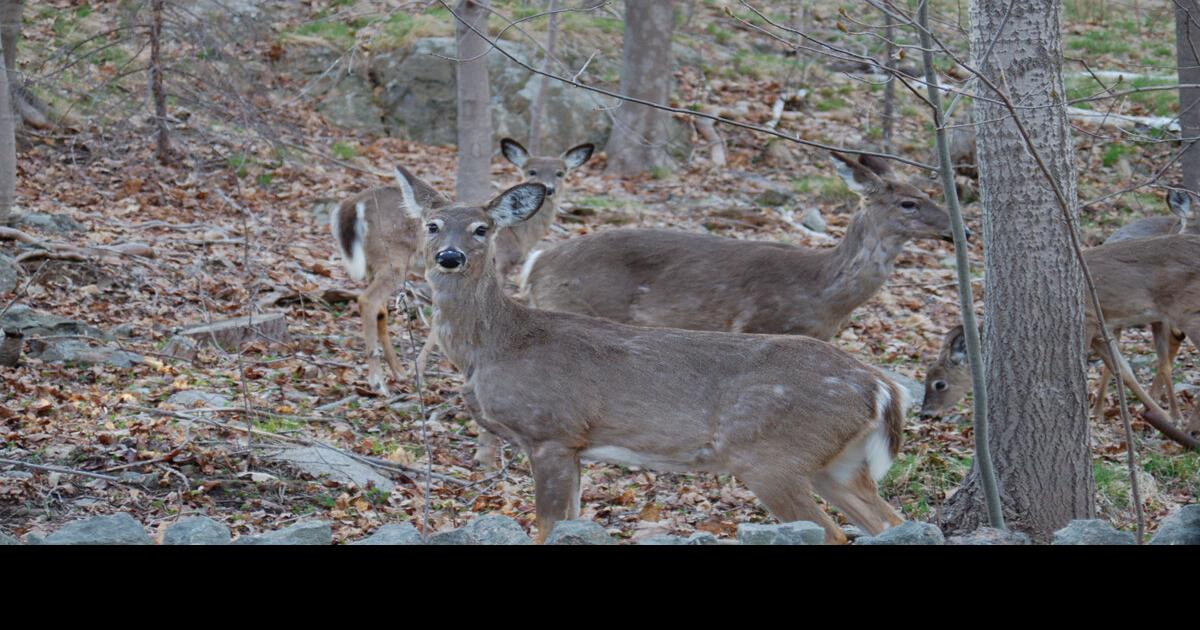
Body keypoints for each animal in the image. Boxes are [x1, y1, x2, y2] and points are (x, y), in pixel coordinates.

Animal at [402, 166, 911, 544]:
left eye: (481, 229)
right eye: (431, 225)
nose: (449, 256)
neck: (497, 346)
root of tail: (881, 386)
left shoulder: (551, 431)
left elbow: (547, 528)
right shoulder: (575, 446)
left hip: (771, 456)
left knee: (835, 533)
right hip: (837, 464)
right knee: (892, 522)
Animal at [521, 152, 965, 341]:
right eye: (908, 203)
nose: (956, 230)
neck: (824, 294)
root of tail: (536, 262)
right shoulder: (759, 326)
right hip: (574, 306)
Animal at [918, 234, 1200, 448]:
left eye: (939, 383)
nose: (925, 414)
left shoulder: (1087, 321)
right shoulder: (1101, 331)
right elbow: (1124, 371)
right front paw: (1164, 419)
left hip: (1188, 309)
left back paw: (1192, 428)